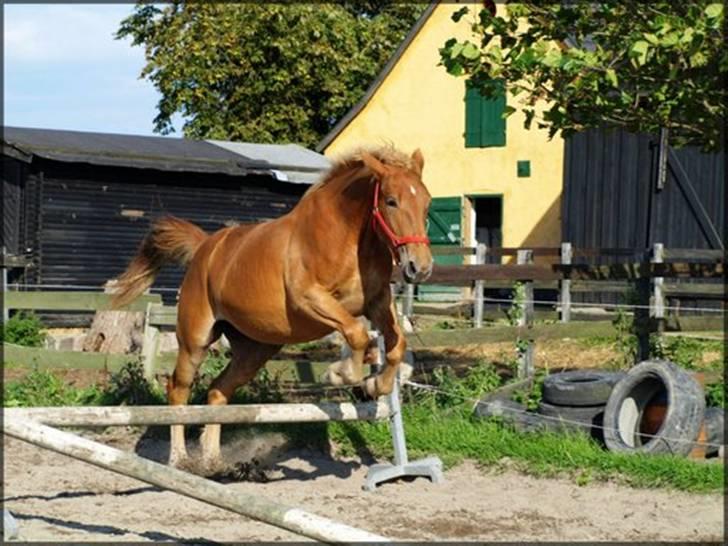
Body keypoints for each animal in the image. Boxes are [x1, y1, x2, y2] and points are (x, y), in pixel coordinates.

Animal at [113, 146, 432, 464]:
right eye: (391, 201)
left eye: (426, 203)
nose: (420, 268)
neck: (347, 238)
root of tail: (205, 246)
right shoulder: (310, 300)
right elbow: (356, 333)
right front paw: (339, 374)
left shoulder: (378, 302)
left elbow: (396, 345)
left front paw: (375, 385)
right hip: (195, 341)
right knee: (178, 391)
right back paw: (179, 457)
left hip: (254, 349)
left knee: (218, 391)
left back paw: (212, 462)